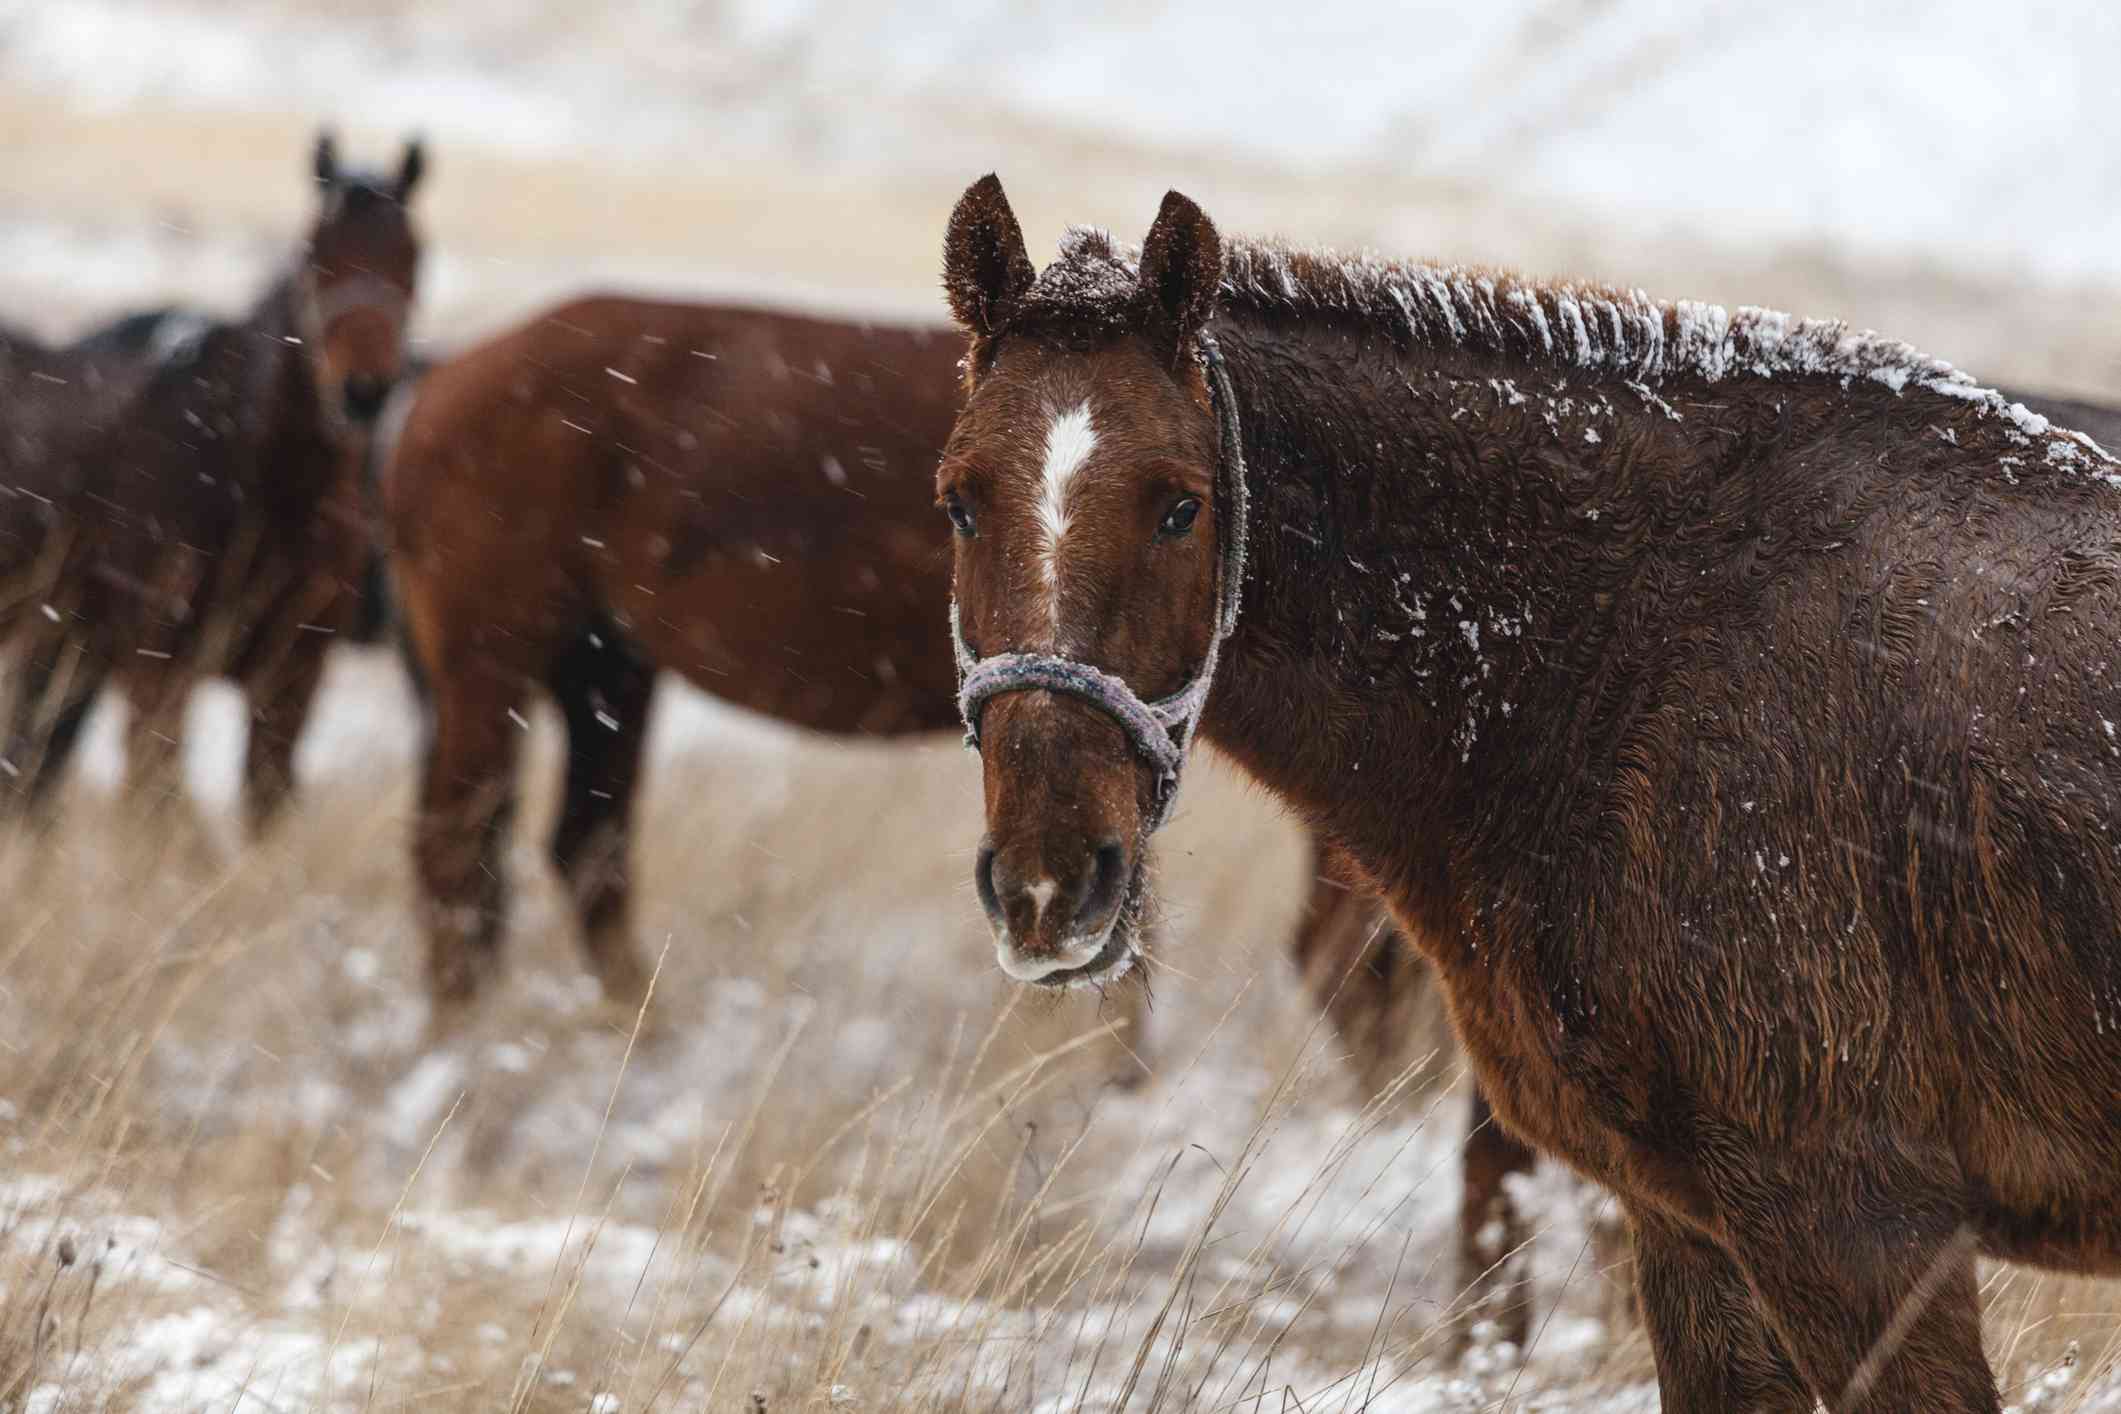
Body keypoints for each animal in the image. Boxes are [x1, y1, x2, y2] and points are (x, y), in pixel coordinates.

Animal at [937, 180, 2121, 1414]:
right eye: (959, 500)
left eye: (1180, 507)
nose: (1048, 884)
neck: (1625, 648)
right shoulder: (1689, 1228)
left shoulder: (1858, 1230)